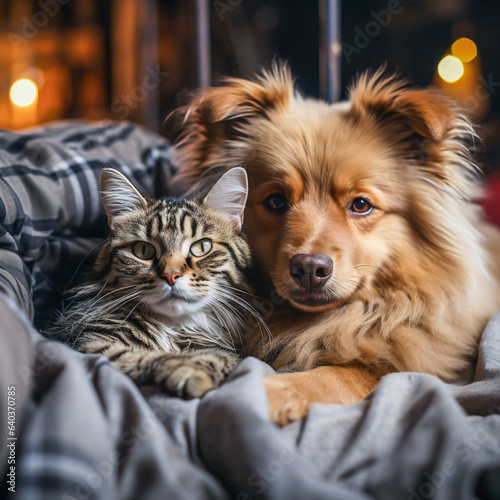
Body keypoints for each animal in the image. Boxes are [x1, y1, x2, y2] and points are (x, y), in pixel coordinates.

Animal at [48, 167, 256, 398]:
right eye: (142, 250)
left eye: (202, 247)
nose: (171, 276)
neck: (172, 327)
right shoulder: (90, 346)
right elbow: (145, 356)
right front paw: (188, 369)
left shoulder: (228, 352)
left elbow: (216, 356)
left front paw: (194, 371)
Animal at [170, 63, 500, 426]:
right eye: (275, 201)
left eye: (361, 204)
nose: (309, 267)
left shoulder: (407, 363)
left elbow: (337, 373)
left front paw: (266, 392)